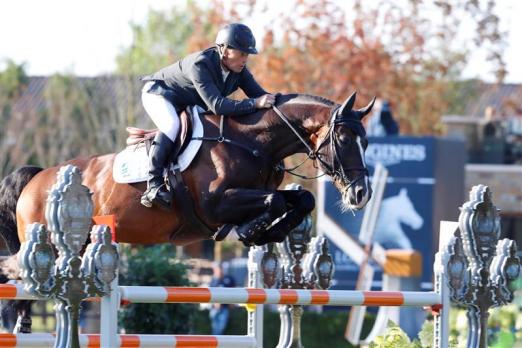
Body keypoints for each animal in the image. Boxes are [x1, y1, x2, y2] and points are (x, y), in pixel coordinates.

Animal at [1, 91, 374, 330]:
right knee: (21, 273)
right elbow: (276, 201)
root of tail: (39, 176)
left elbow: (301, 200)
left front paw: (269, 231)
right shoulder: (216, 205)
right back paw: (21, 320)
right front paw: (252, 230)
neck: (252, 142)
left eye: (367, 142)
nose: (361, 194)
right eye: (343, 140)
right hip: (50, 242)